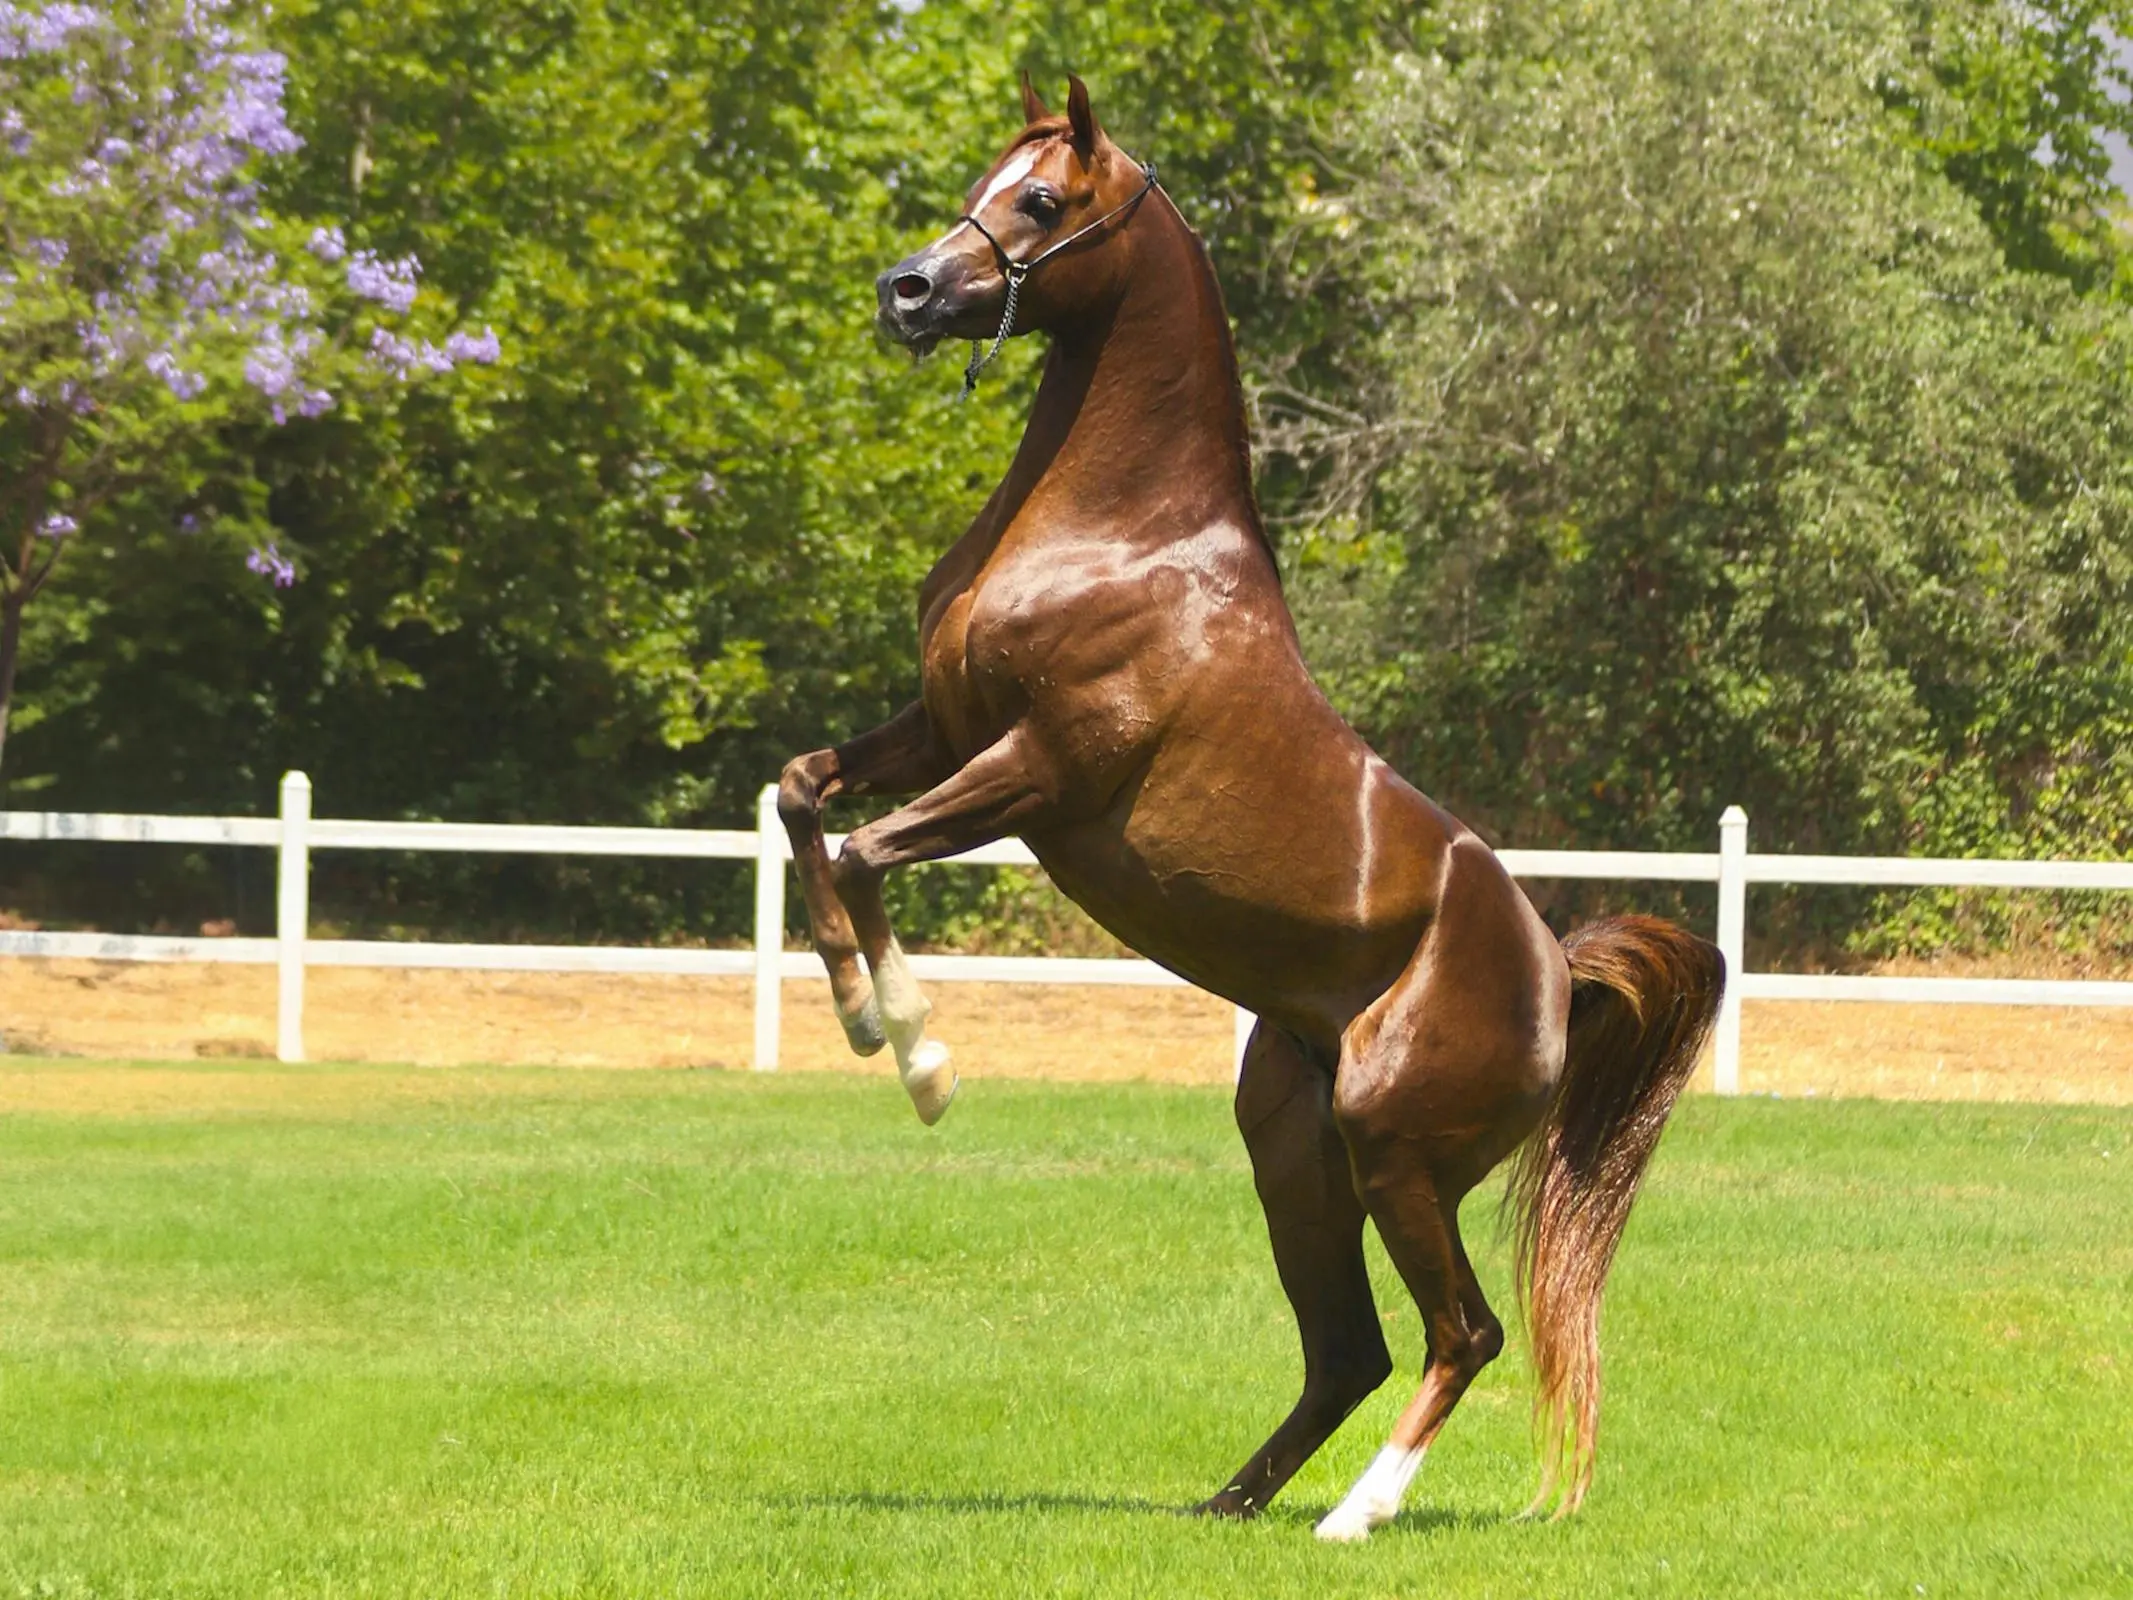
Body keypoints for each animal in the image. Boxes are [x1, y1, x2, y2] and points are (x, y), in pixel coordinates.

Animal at [776, 75, 1723, 1544]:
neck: (1122, 537)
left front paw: (920, 1057)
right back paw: (1229, 1503)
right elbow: (803, 796)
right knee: (1351, 1351)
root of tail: (1558, 976)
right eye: (981, 177)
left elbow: (869, 852)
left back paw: (1356, 1517)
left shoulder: (1039, 768)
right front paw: (857, 1013)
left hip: (1393, 1153)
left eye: (1038, 199)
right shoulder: (941, 730)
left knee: (1461, 1335)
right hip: (1296, 1155)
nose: (909, 290)